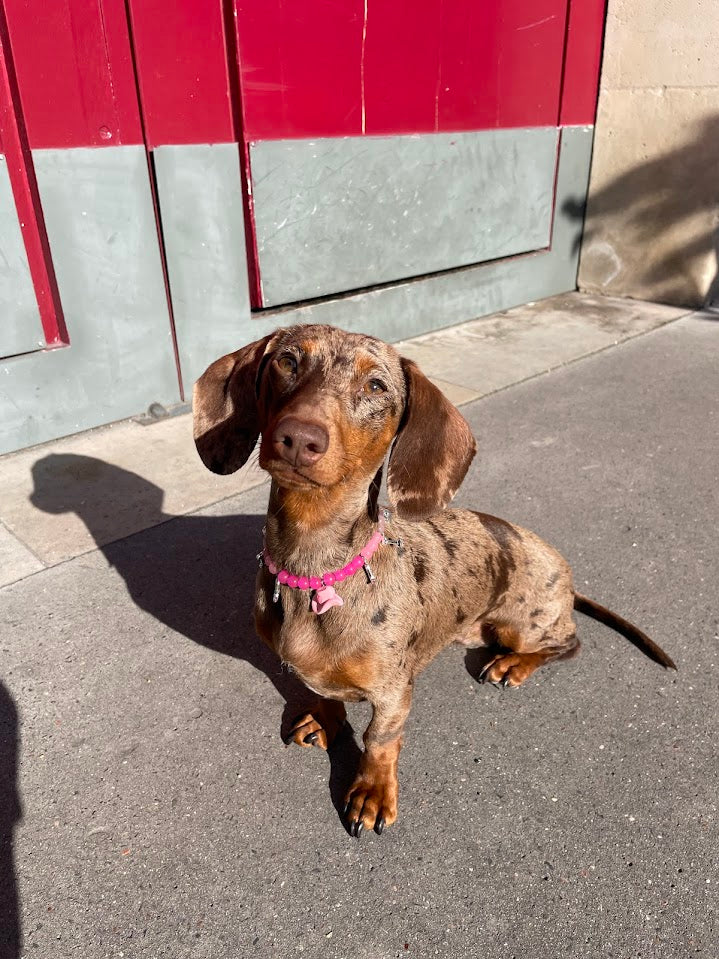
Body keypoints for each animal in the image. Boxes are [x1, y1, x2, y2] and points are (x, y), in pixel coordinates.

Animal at [193, 326, 676, 836]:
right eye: (287, 361)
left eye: (376, 386)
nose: (298, 438)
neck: (316, 571)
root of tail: (564, 574)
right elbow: (318, 690)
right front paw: (324, 717)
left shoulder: (394, 692)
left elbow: (379, 738)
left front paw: (372, 790)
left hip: (523, 626)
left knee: (568, 643)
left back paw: (512, 666)